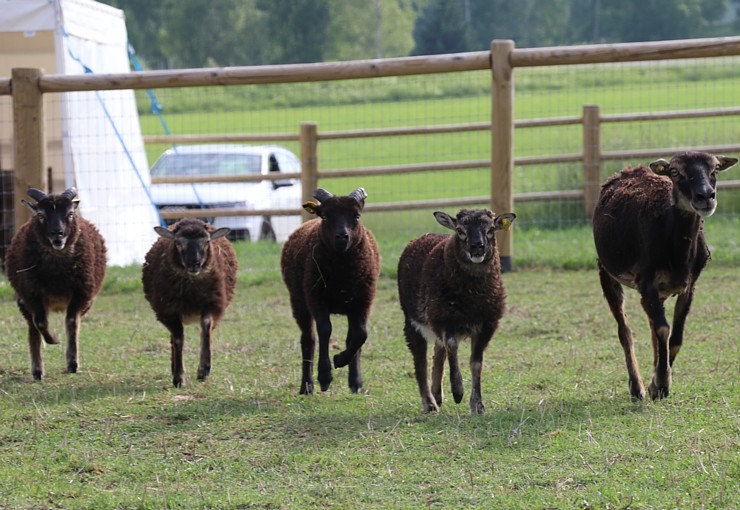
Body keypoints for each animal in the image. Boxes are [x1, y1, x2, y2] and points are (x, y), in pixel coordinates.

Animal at [4, 187, 106, 378]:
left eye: (70, 214)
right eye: (41, 215)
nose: (57, 235)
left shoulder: (81, 293)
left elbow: (72, 322)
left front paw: (72, 363)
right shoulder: (31, 294)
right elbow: (41, 323)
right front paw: (54, 339)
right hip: (23, 301)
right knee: (33, 328)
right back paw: (37, 370)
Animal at [142, 217, 237, 388]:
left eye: (206, 241)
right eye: (178, 242)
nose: (194, 263)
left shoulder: (212, 303)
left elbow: (206, 327)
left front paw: (203, 370)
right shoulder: (169, 311)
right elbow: (178, 339)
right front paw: (179, 377)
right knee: (173, 339)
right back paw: (174, 367)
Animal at [280, 187, 378, 394]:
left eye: (357, 216)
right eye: (325, 217)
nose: (342, 236)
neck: (341, 275)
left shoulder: (363, 301)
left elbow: (360, 335)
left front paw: (341, 361)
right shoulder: (316, 298)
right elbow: (325, 331)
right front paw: (325, 376)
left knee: (352, 337)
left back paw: (354, 382)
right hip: (299, 302)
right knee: (308, 340)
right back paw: (306, 386)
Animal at [398, 208, 516, 414]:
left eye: (491, 229)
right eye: (460, 230)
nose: (477, 247)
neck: (472, 297)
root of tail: (422, 237)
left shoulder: (487, 324)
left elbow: (476, 363)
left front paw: (477, 405)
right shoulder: (444, 319)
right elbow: (452, 346)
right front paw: (458, 391)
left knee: (438, 352)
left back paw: (437, 395)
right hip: (413, 320)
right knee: (420, 361)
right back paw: (429, 403)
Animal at [592, 150, 736, 398]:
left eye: (715, 169)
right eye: (675, 172)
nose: (706, 196)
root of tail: (630, 169)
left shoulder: (689, 285)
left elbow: (675, 337)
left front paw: (658, 381)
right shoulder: (646, 282)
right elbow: (663, 329)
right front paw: (659, 383)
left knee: (652, 329)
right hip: (607, 273)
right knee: (625, 331)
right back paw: (637, 387)